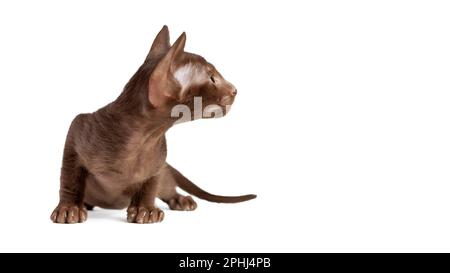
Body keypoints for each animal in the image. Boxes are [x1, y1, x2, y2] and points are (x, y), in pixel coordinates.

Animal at [49, 25, 256, 223]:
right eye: (212, 78)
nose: (235, 89)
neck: (142, 141)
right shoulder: (76, 131)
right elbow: (69, 179)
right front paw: (69, 209)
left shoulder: (158, 161)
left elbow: (149, 184)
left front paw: (145, 210)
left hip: (165, 177)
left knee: (168, 187)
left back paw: (182, 200)